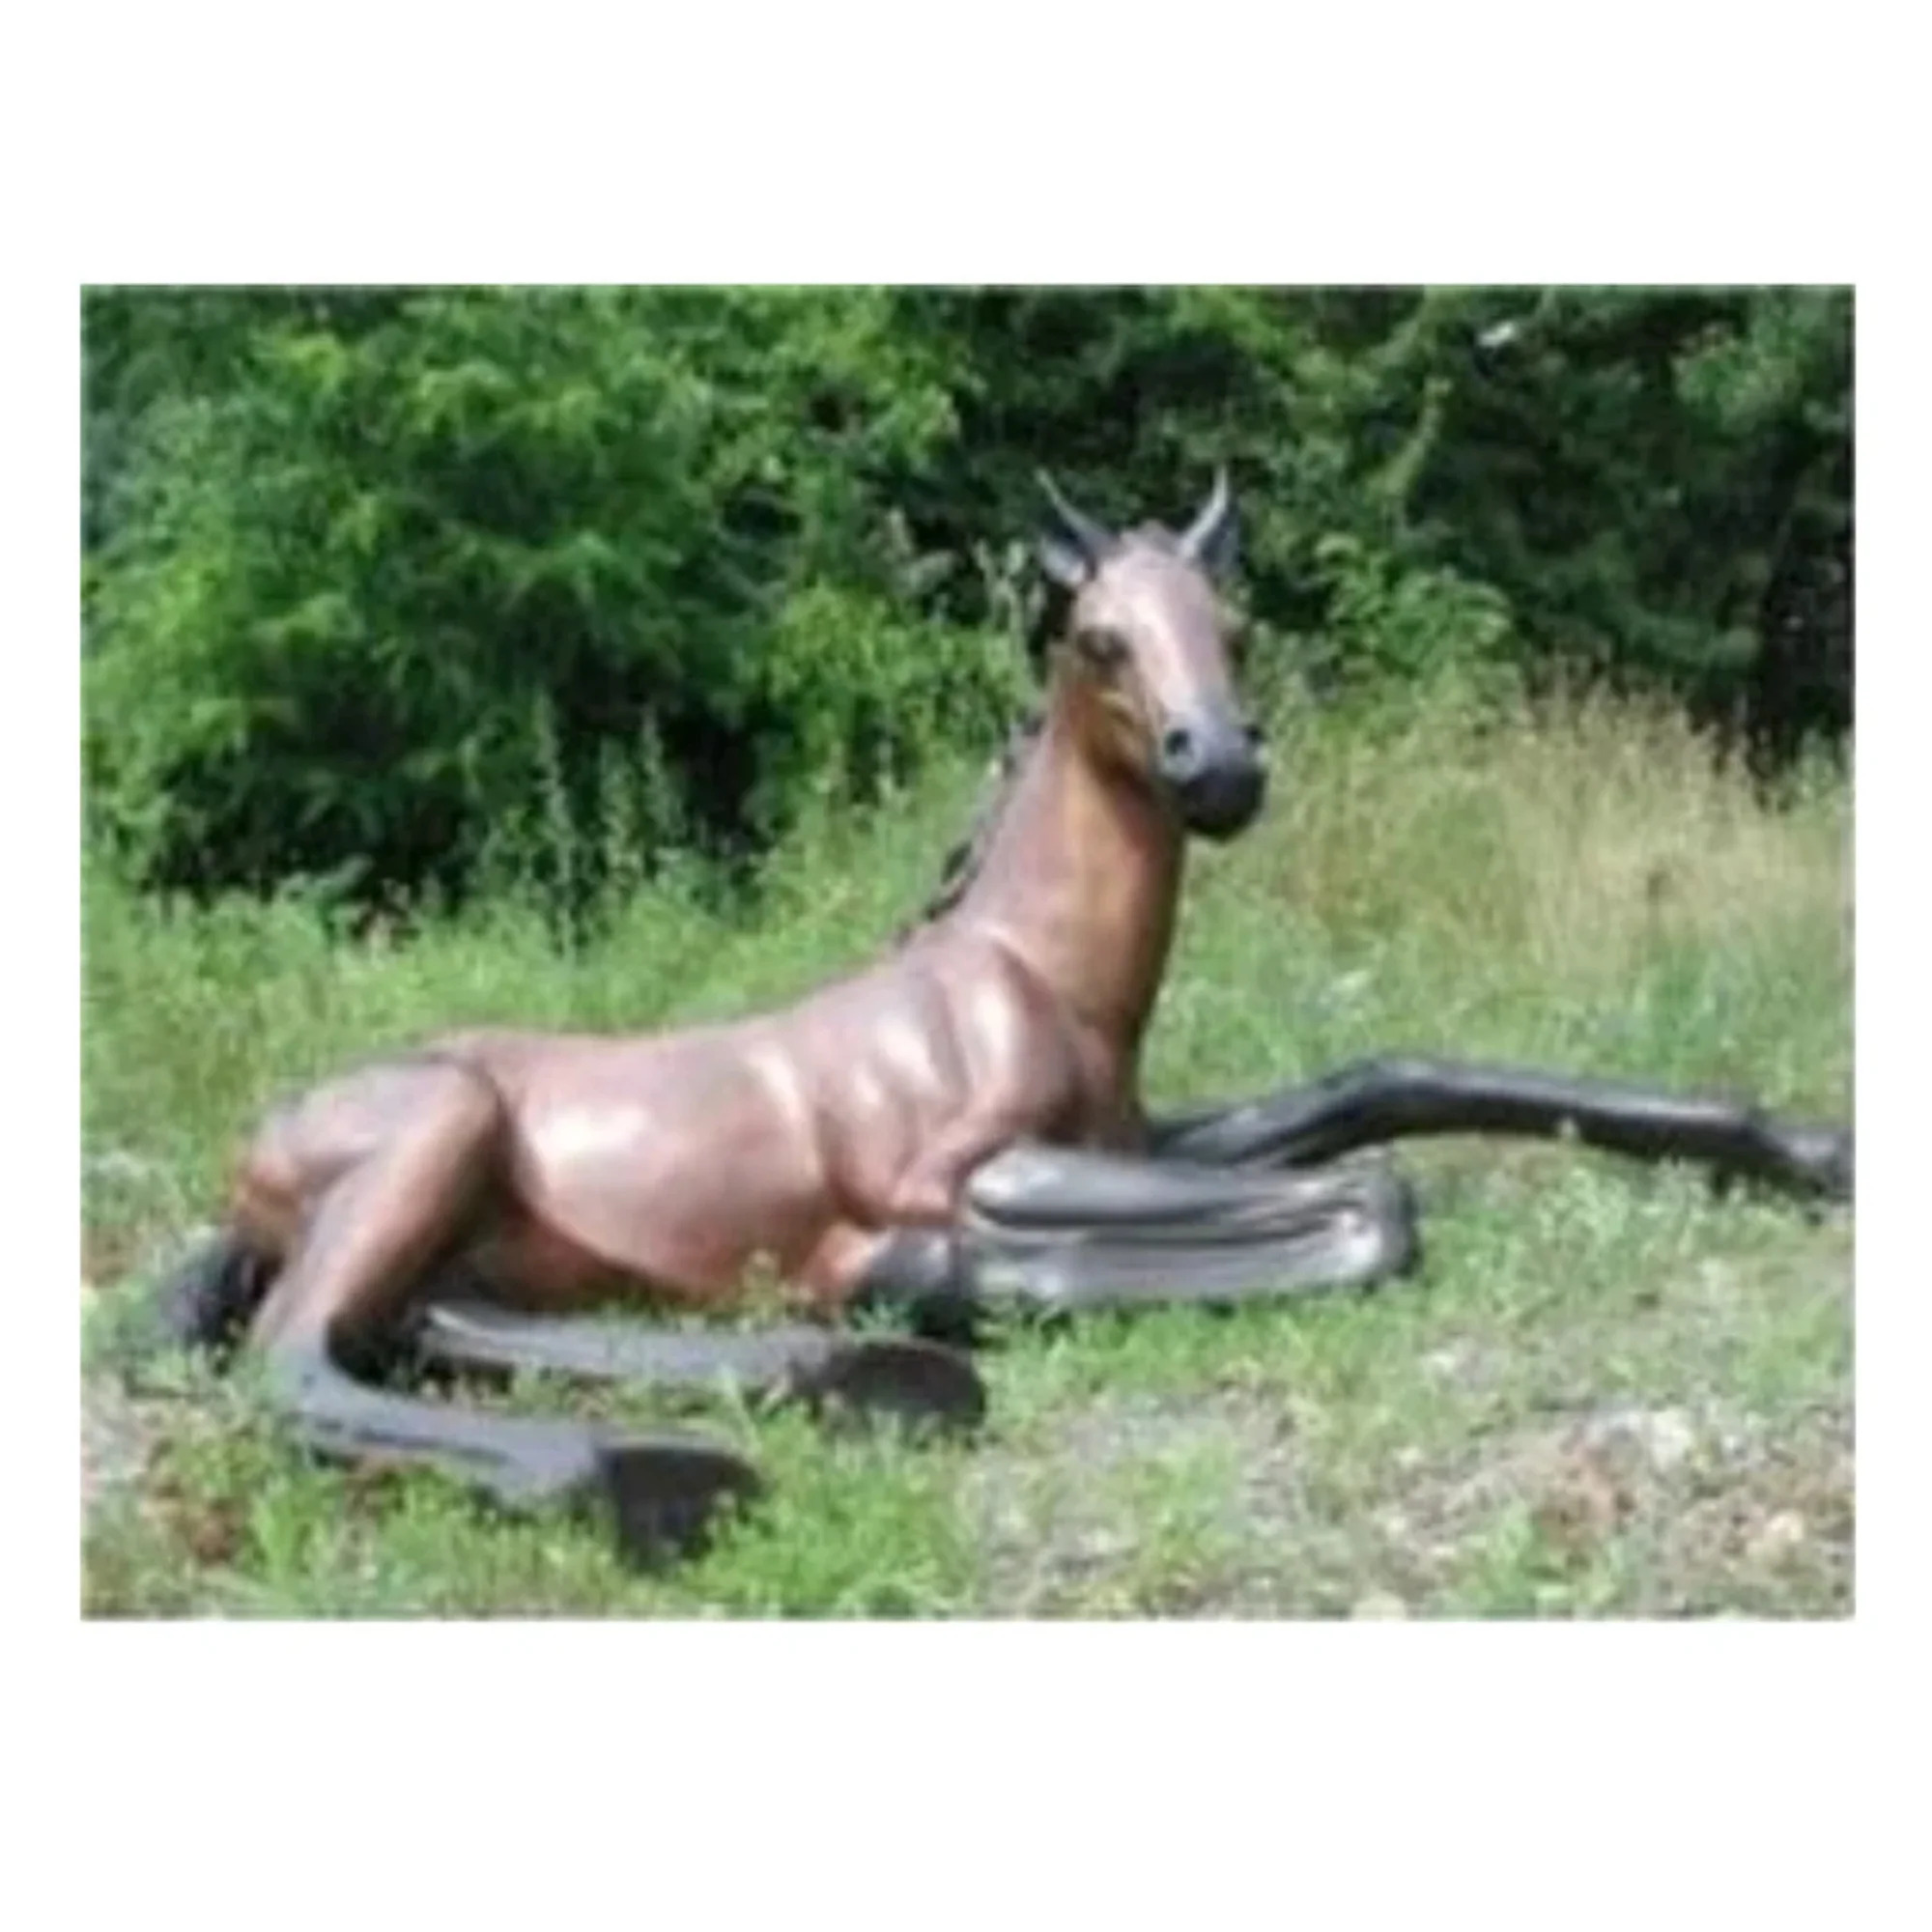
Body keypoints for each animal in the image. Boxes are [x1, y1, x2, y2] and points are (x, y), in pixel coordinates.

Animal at [147, 471, 1852, 1564]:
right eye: (1099, 638)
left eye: (1232, 626)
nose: (1220, 767)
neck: (1028, 972)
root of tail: (257, 1156)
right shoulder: (984, 1167)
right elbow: (1374, 1200)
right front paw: (945, 1276)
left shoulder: (1147, 1131)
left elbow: (1391, 1079)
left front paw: (1806, 1149)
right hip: (436, 1134)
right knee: (295, 1363)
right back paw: (661, 1477)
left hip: (478, 1228)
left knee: (432, 1328)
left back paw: (855, 1378)